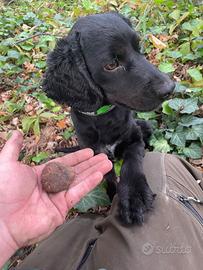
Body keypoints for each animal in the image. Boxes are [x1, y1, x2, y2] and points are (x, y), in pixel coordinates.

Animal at [43, 12, 175, 224]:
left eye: (139, 48)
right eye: (111, 65)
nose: (170, 88)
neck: (104, 116)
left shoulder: (134, 139)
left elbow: (131, 162)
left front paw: (134, 195)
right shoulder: (96, 152)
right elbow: (109, 176)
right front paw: (114, 195)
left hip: (144, 124)